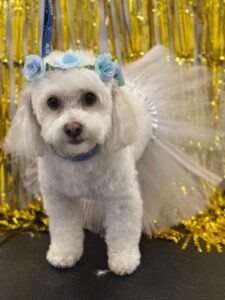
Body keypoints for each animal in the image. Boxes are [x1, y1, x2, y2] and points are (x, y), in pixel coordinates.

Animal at [5, 44, 223, 274]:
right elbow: (64, 230)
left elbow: (123, 230)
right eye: (52, 102)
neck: (82, 157)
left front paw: (124, 259)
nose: (73, 128)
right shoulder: (60, 200)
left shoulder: (122, 198)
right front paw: (64, 254)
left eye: (90, 97)